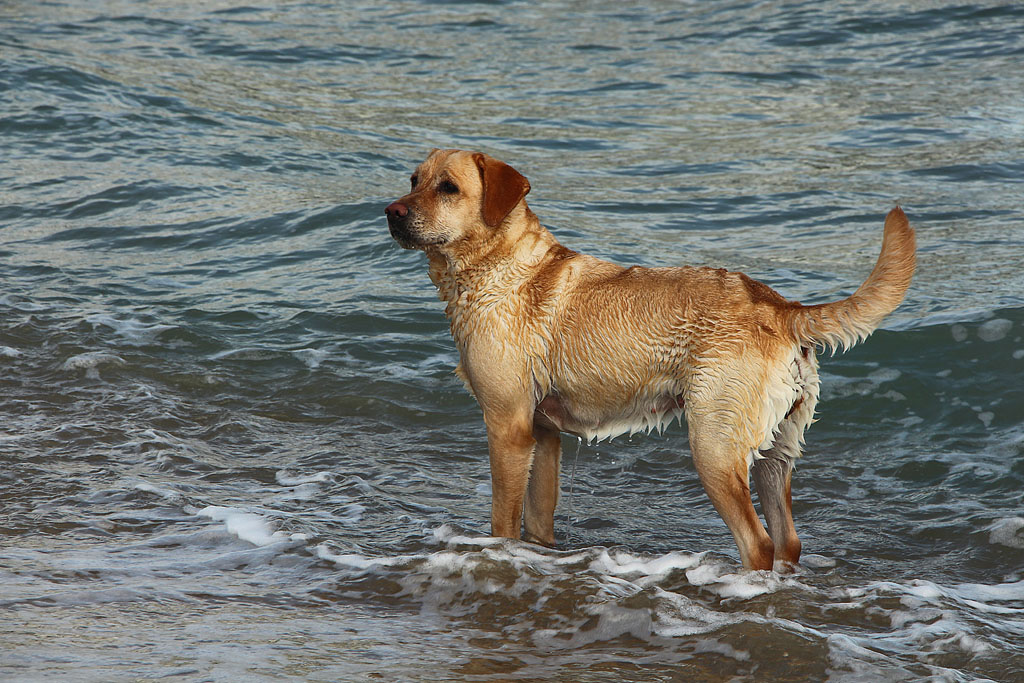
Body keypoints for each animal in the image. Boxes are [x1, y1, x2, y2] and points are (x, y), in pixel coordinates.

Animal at [385, 148, 921, 573]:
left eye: (448, 188)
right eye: (413, 180)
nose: (389, 211)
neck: (497, 268)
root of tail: (780, 308)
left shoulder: (507, 427)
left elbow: (503, 522)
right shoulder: (543, 433)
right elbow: (538, 523)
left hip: (714, 446)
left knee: (759, 544)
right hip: (776, 452)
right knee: (788, 540)